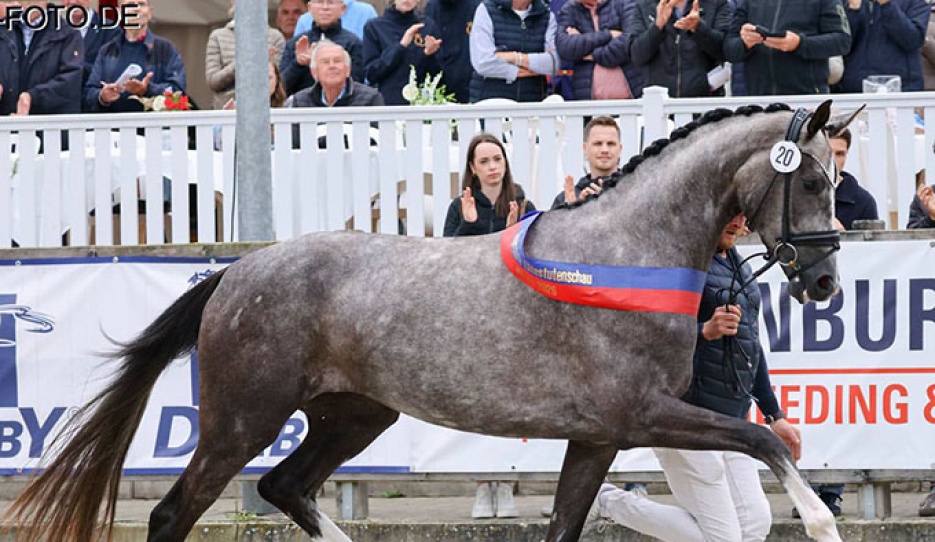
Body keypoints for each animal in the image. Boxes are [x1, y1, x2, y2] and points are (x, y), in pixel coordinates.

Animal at [3, 101, 845, 542]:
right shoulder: (645, 414)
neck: (628, 254)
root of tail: (236, 273)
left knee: (283, 485)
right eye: (808, 180)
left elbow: (564, 525)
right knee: (176, 512)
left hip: (354, 414)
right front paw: (818, 521)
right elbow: (765, 440)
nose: (826, 282)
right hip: (241, 420)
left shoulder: (598, 436)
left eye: (835, 181)